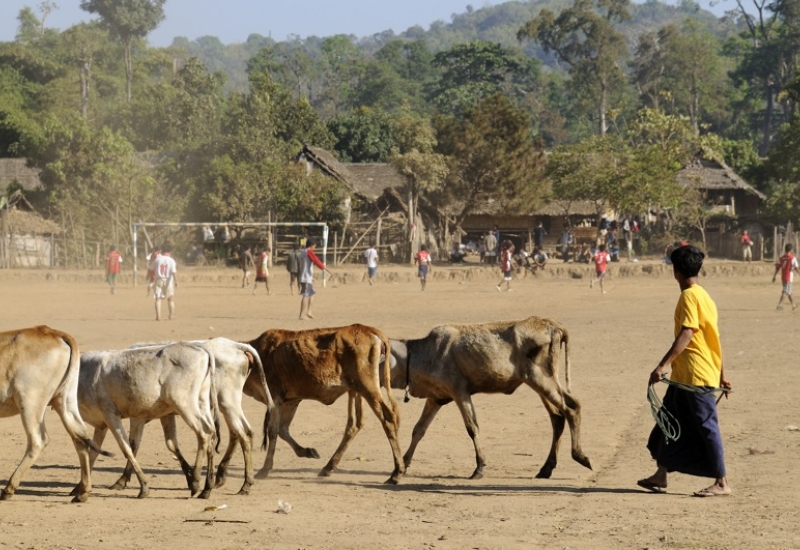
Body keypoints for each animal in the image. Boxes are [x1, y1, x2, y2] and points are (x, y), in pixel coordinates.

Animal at [0, 328, 112, 504]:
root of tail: (51, 331)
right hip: (65, 401)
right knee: (80, 438)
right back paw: (82, 492)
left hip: (30, 403)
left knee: (38, 441)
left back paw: (8, 489)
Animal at [77, 344, 219, 500]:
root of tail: (200, 348)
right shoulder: (110, 423)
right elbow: (96, 453)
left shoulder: (111, 414)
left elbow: (127, 447)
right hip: (202, 403)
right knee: (212, 435)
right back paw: (207, 488)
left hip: (185, 405)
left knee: (204, 433)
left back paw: (196, 481)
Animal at [245, 326, 406, 486]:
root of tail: (370, 329)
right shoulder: (291, 401)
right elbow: (283, 430)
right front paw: (307, 451)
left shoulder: (275, 399)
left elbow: (273, 431)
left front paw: (265, 469)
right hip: (356, 390)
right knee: (355, 424)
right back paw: (329, 467)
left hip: (368, 388)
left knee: (388, 419)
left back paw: (396, 473)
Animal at [390, 320, 592, 484]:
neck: (425, 353)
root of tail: (553, 326)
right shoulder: (436, 398)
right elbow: (419, 430)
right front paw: (398, 470)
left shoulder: (460, 392)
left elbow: (472, 428)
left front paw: (479, 468)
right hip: (541, 383)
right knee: (557, 417)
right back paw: (546, 468)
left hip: (540, 379)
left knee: (572, 407)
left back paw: (580, 456)